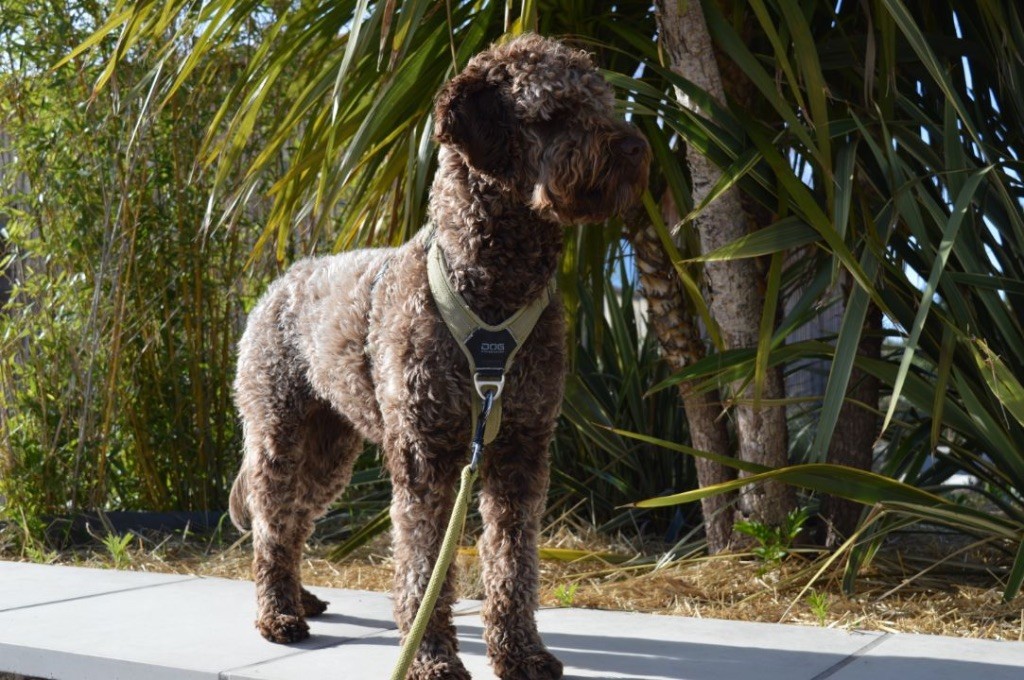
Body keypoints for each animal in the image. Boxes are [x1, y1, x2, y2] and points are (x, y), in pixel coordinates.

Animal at [230, 34, 647, 675]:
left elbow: (513, 563)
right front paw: (430, 657)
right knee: (272, 522)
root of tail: (281, 283)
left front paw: (521, 651)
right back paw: (277, 612)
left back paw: (299, 595)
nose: (634, 146)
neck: (494, 287)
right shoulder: (424, 456)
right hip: (279, 432)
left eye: (602, 104)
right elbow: (424, 566)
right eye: (553, 113)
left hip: (330, 450)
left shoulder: (522, 450)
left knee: (295, 517)